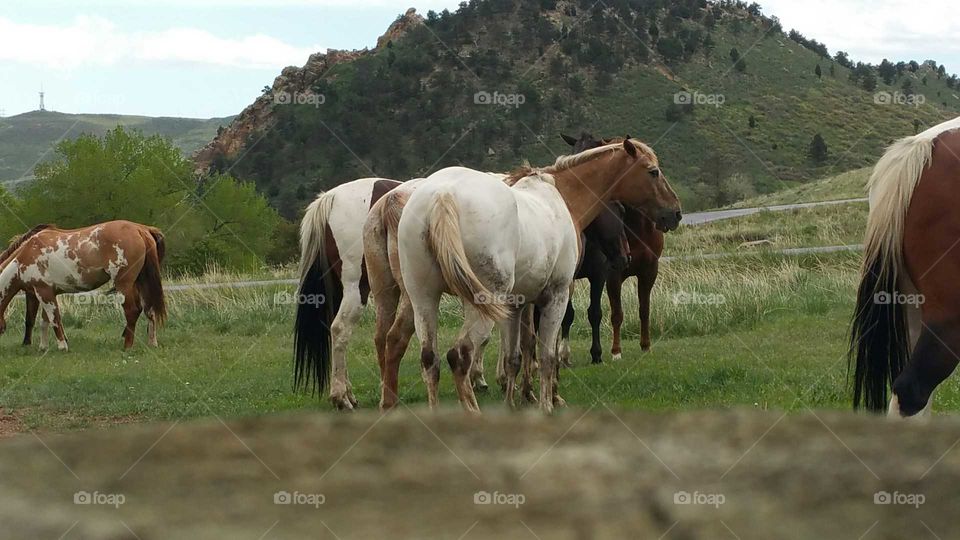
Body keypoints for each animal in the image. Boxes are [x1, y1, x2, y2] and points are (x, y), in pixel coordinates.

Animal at [0, 220, 167, 350]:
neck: (25, 255)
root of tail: (141, 230)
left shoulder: (42, 291)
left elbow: (54, 319)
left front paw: (62, 346)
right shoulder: (47, 293)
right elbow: (45, 320)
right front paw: (43, 347)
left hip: (124, 284)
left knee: (132, 311)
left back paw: (127, 346)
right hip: (141, 282)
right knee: (149, 310)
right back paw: (152, 343)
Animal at [398, 139, 684, 414]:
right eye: (653, 171)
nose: (676, 212)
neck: (563, 197)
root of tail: (442, 194)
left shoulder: (517, 305)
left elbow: (516, 356)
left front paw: (513, 404)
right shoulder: (557, 296)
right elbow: (547, 356)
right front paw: (548, 403)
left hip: (424, 299)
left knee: (430, 359)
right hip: (481, 303)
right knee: (460, 355)